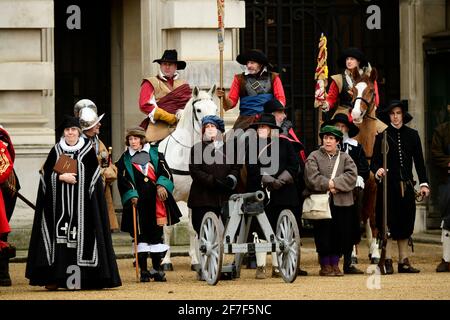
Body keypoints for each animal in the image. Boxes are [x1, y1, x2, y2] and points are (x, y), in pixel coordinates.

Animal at [159, 85, 219, 270]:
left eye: (215, 109)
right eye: (198, 110)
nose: (212, 134)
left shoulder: (193, 198)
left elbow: (193, 228)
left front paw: (195, 260)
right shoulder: (167, 196)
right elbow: (167, 227)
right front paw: (166, 261)